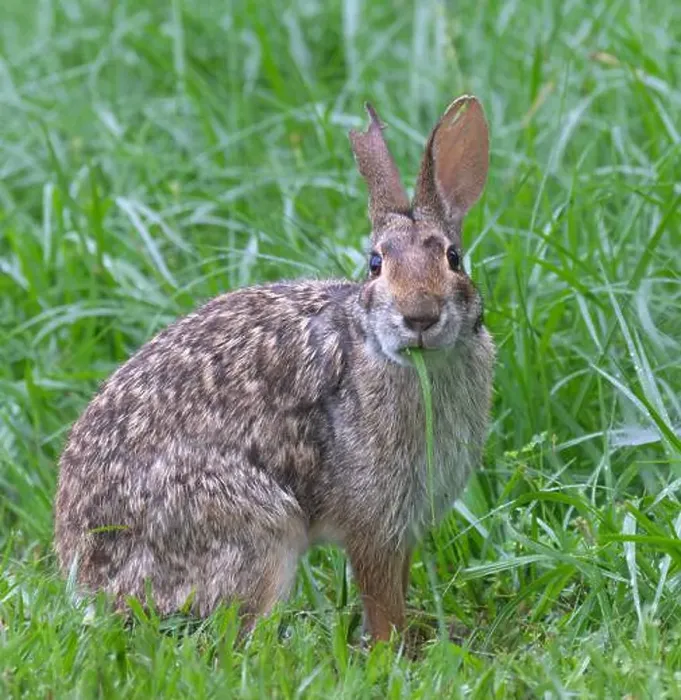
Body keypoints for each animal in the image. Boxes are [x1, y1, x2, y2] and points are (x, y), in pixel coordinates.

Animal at [54, 95, 494, 642]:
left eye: (454, 258)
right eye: (375, 264)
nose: (419, 315)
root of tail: (89, 580)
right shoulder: (374, 522)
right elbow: (381, 596)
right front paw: (394, 650)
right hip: (257, 532)